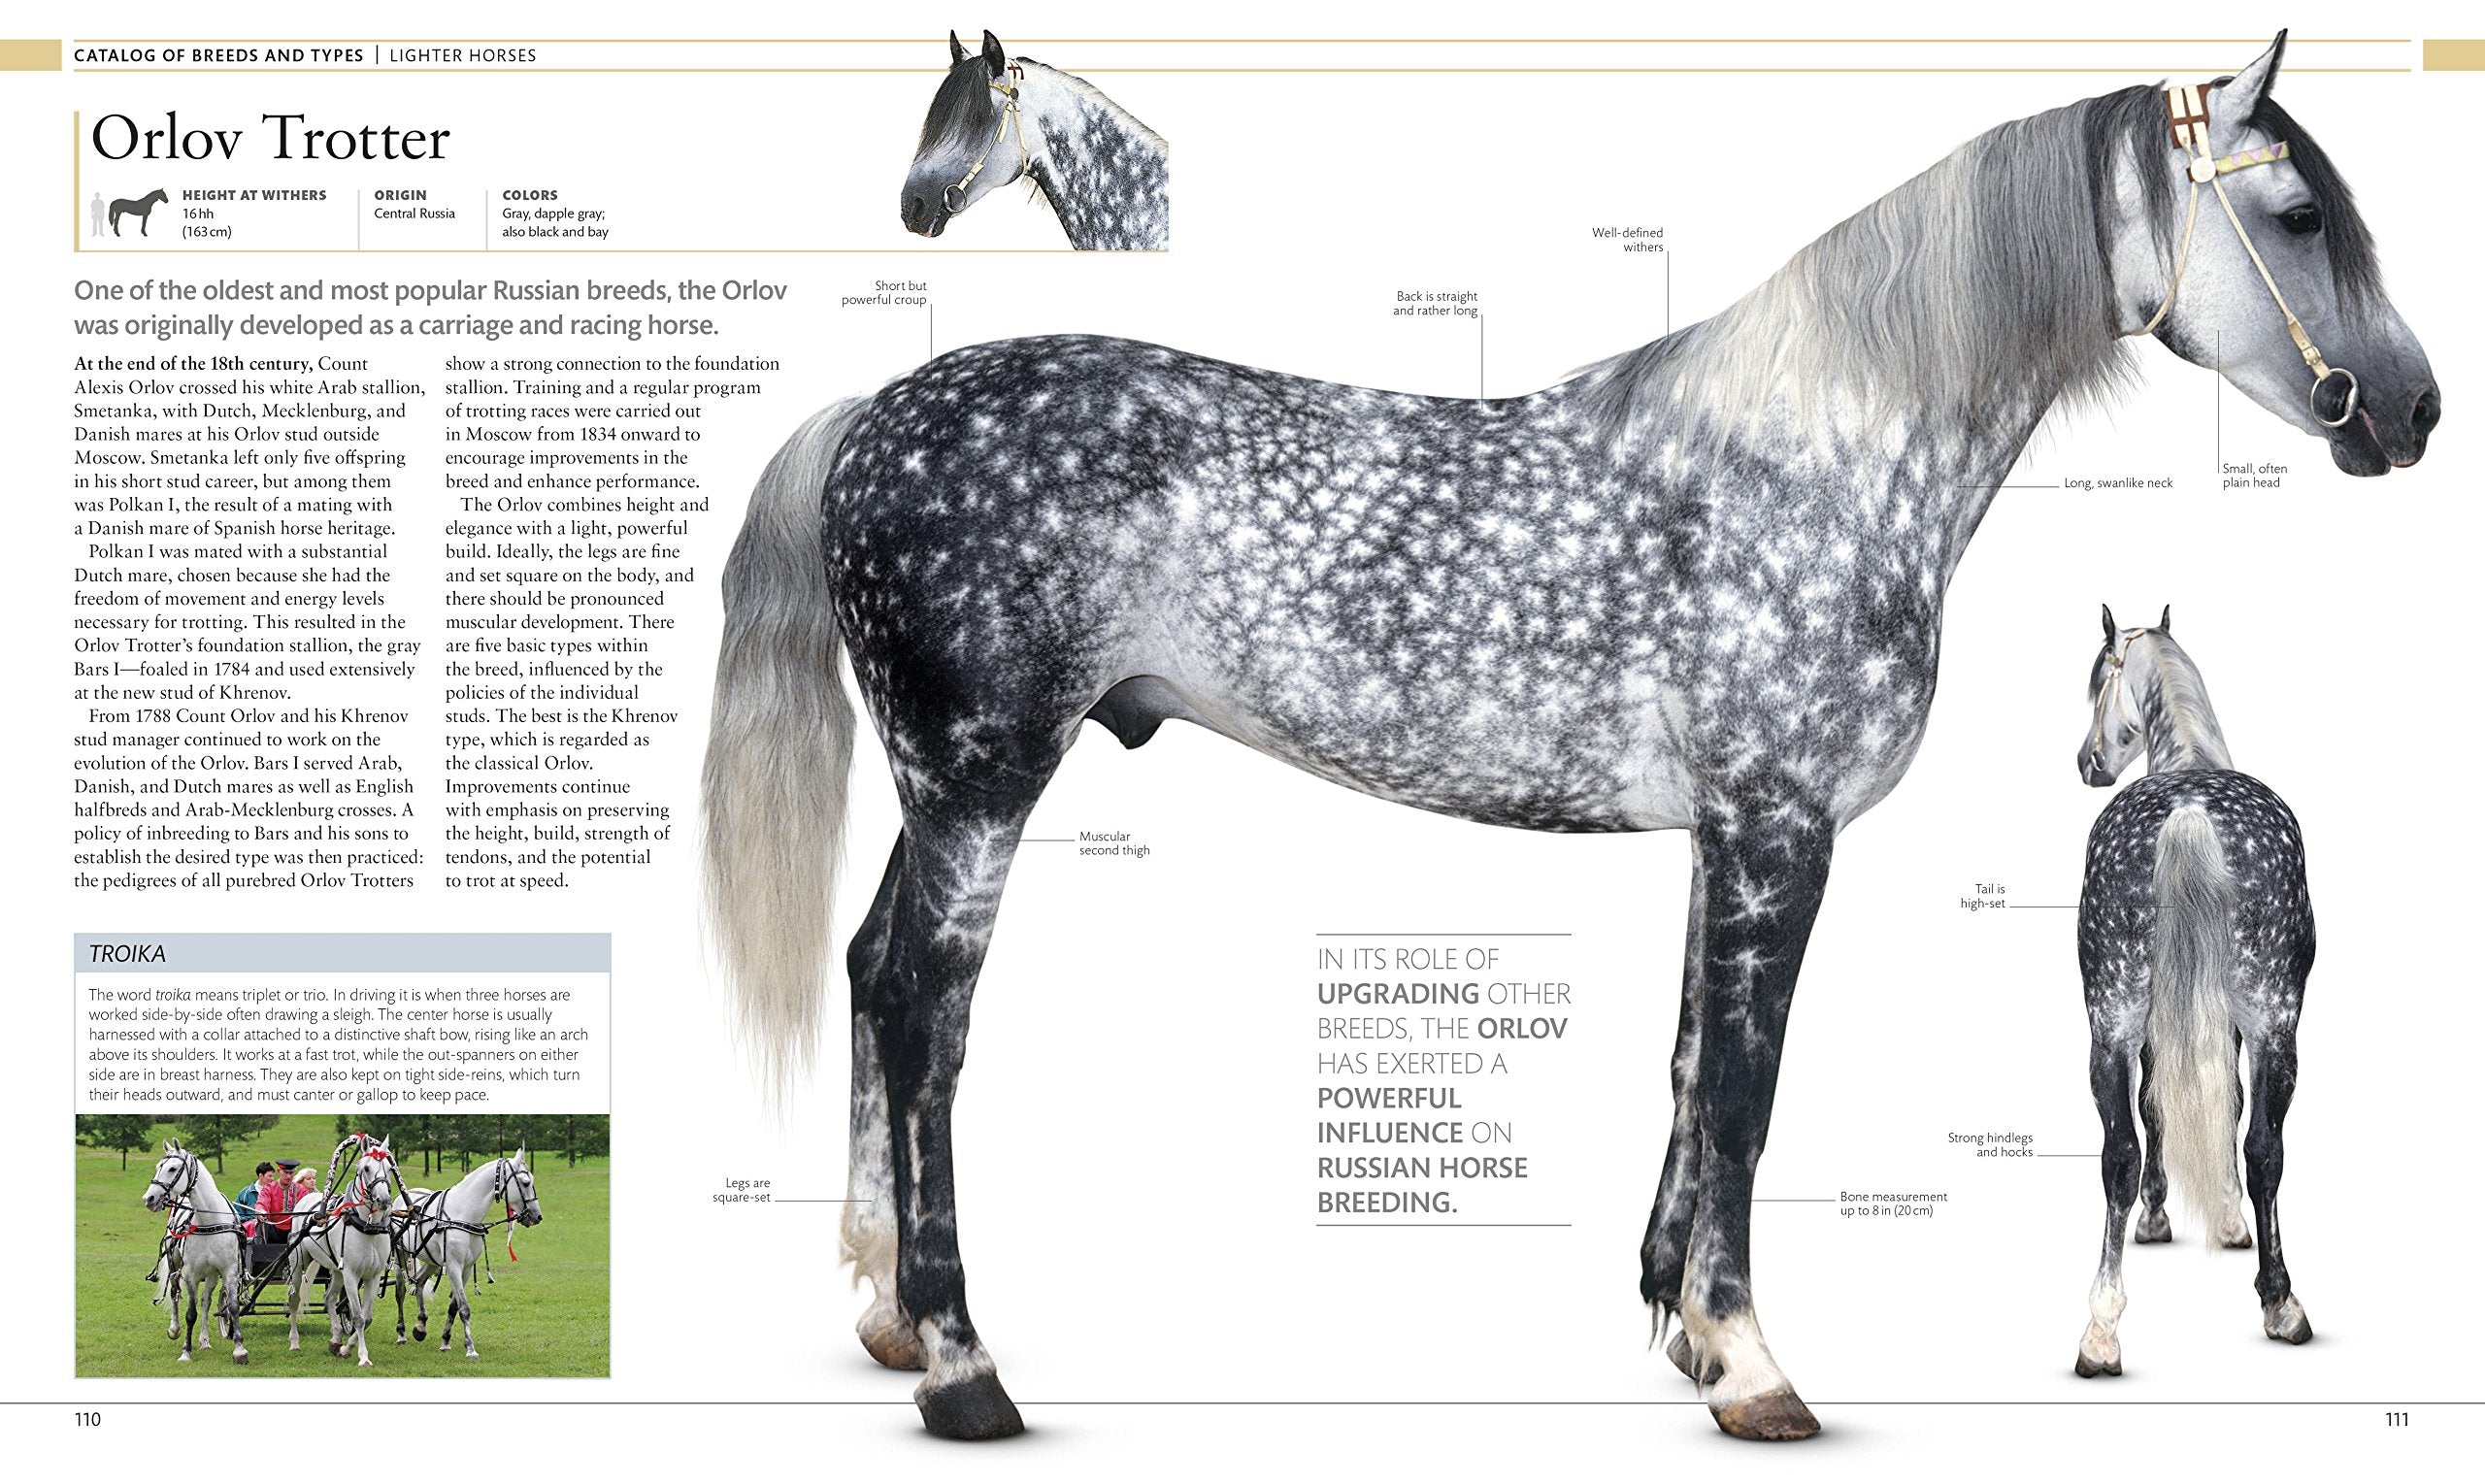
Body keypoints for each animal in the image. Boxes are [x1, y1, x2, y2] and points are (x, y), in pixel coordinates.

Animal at [139, 1140, 247, 1364]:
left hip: (212, 1275)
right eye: (158, 1167)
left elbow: (232, 1307)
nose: (149, 1198)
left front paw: (239, 1350)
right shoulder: (190, 1274)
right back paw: (174, 1329)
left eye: (172, 1169)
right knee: (174, 1294)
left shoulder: (229, 1272)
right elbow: (190, 1313)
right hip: (175, 1265)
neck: (209, 1221)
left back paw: (204, 1340)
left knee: (206, 1303)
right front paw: (186, 1351)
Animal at [284, 1138, 402, 1366]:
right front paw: (363, 1356)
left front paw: (346, 1348)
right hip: (298, 1264)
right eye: (366, 1168)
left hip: (336, 1270)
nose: (384, 1200)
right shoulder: (351, 1274)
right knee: (294, 1300)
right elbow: (357, 1317)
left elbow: (367, 1317)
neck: (368, 1228)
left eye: (389, 1168)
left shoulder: (373, 1275)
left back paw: (336, 1339)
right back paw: (294, 1342)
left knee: (329, 1298)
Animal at [399, 1149, 543, 1357]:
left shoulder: (465, 1269)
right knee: (400, 1292)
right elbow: (464, 1308)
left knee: (418, 1283)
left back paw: (421, 1327)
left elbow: (454, 1307)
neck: (463, 1214)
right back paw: (401, 1333)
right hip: (399, 1257)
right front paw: (470, 1348)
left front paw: (445, 1341)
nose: (537, 1216)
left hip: (432, 1261)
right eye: (525, 1183)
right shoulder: (453, 1267)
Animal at [2070, 608, 2315, 1379]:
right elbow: (2210, 1108)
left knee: (2123, 1153)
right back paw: (2279, 1304)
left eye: (2095, 682)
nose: (2087, 762)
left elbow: (2176, 1111)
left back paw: (2101, 1333)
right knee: (2260, 1147)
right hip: (2269, 1022)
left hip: (2116, 1022)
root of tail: (2187, 807)